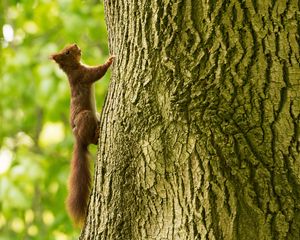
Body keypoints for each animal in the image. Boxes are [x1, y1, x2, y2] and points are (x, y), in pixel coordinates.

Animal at [50, 44, 113, 226]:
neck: (73, 68)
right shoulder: (83, 75)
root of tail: (78, 138)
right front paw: (109, 60)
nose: (76, 45)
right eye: (67, 52)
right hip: (86, 117)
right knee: (91, 140)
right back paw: (97, 134)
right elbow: (97, 73)